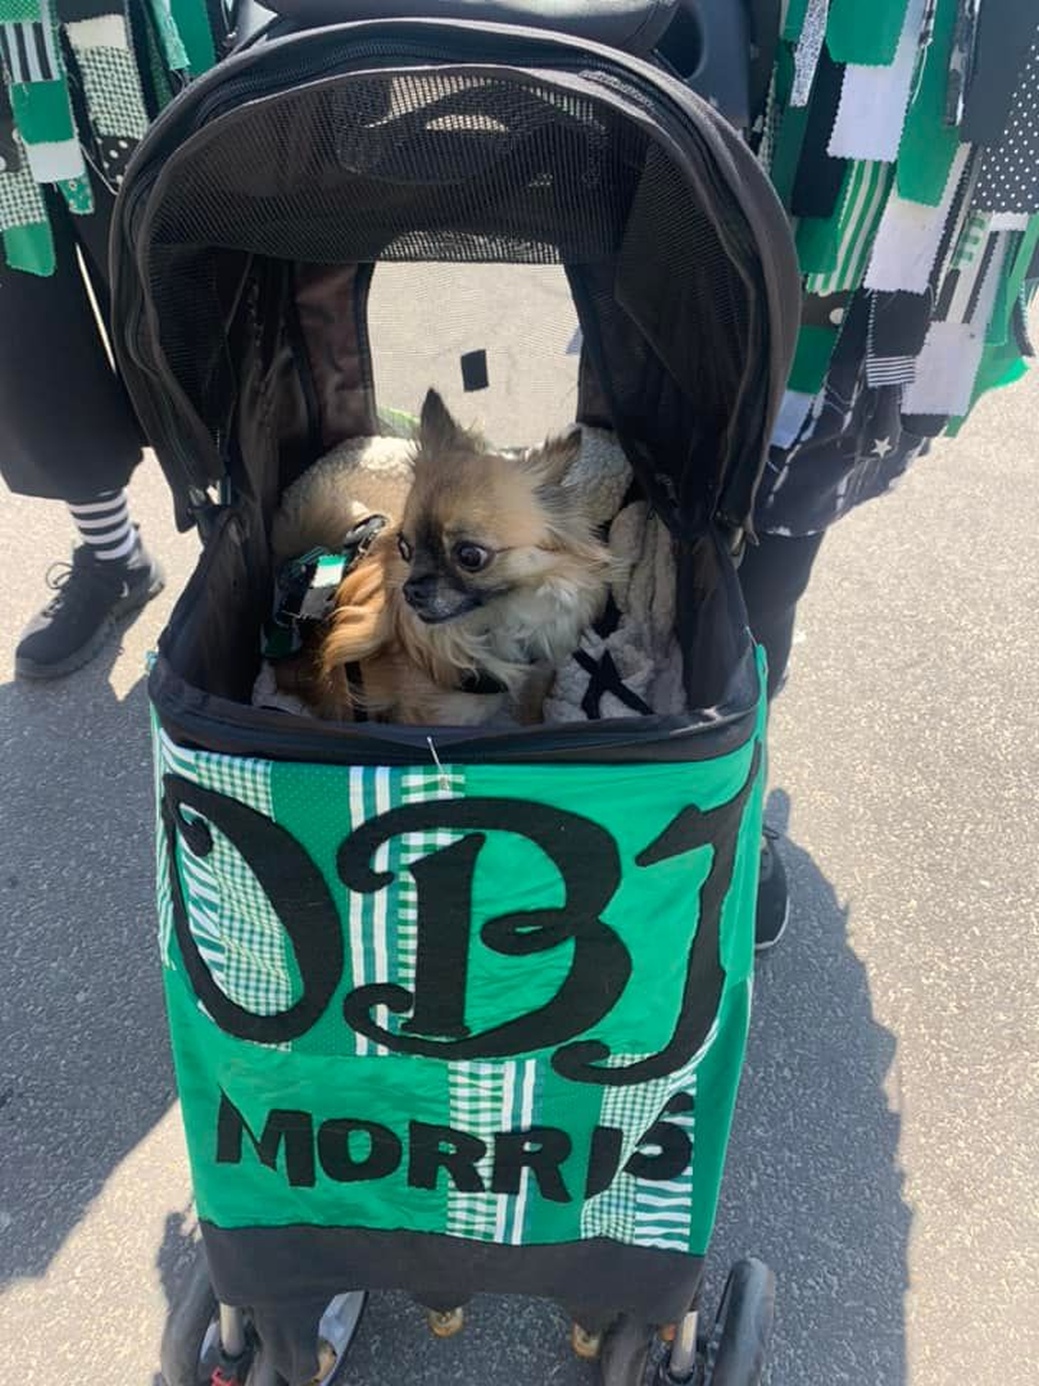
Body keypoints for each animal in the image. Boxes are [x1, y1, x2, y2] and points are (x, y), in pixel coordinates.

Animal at [273, 390, 614, 726]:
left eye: (470, 556)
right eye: (405, 548)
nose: (411, 591)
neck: (499, 620)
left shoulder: (539, 669)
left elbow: (532, 709)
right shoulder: (437, 715)